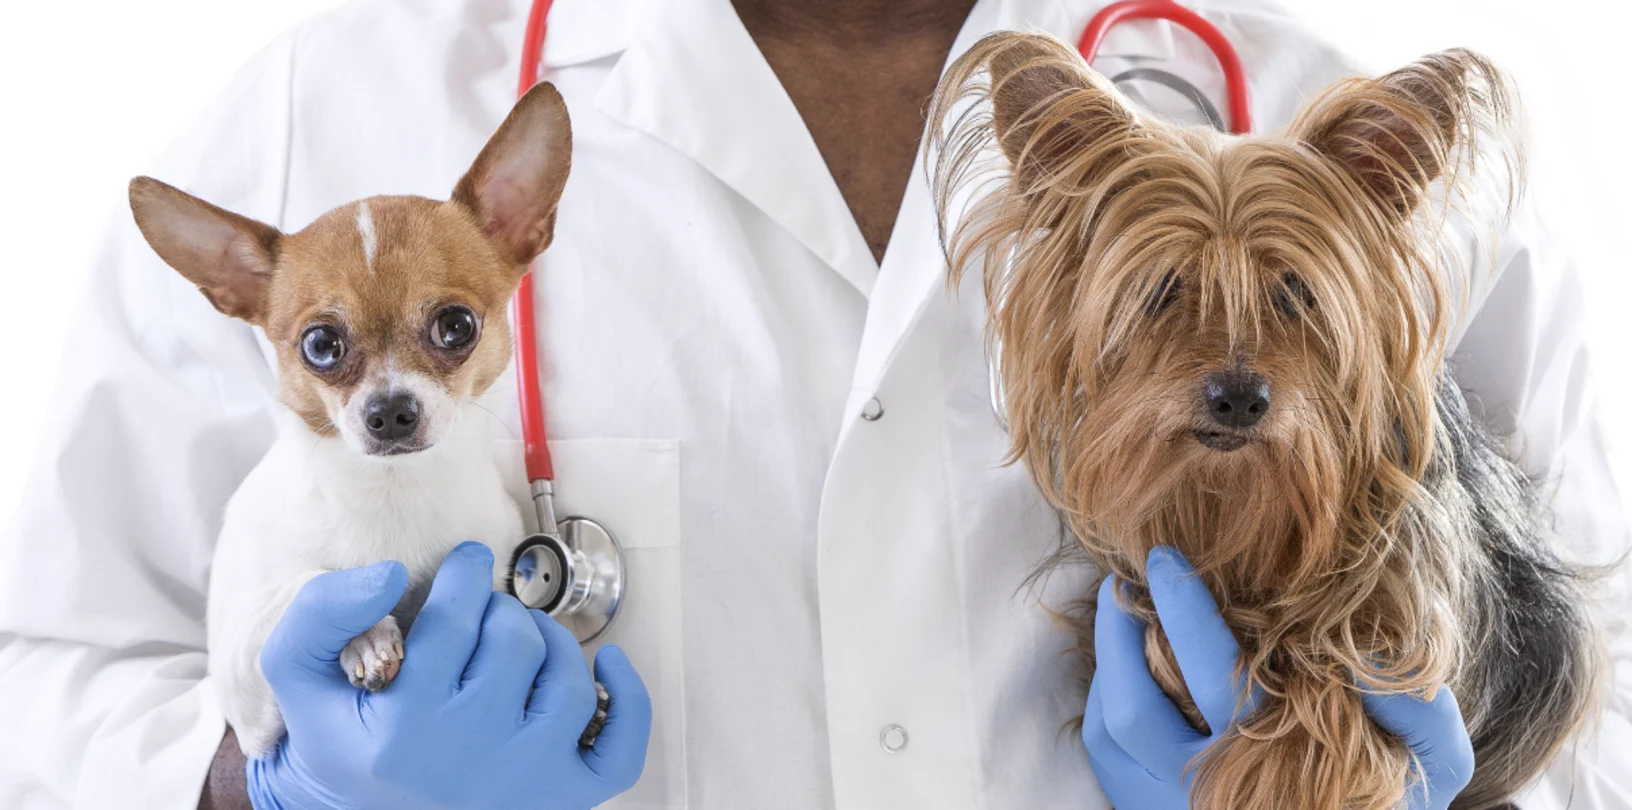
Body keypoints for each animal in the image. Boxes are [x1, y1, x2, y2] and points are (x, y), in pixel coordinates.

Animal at [933, 33, 1605, 810]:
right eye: (1163, 287)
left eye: (1295, 291)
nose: (1238, 397)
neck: (1245, 506)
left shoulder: (1412, 604)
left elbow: (1355, 664)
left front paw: (1288, 753)